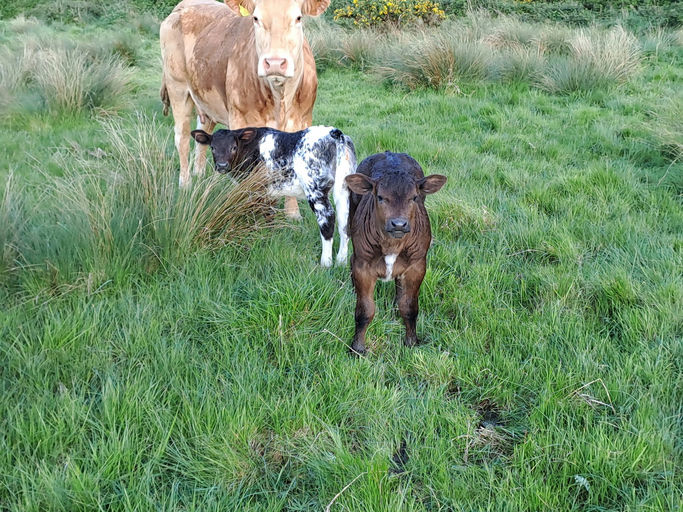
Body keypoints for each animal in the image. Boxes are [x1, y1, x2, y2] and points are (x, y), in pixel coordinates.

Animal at [160, 0, 330, 219]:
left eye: (298, 17)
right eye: (256, 18)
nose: (275, 63)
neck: (280, 98)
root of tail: (182, 6)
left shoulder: (302, 120)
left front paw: (292, 214)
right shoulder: (241, 121)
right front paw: (249, 208)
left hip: (205, 99)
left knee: (202, 135)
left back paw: (199, 176)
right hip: (178, 88)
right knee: (181, 137)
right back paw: (186, 184)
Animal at [190, 125, 356, 266]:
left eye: (234, 147)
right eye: (212, 147)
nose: (222, 166)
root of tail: (333, 133)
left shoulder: (254, 190)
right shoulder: (270, 193)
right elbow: (269, 216)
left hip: (315, 189)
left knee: (327, 220)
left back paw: (326, 263)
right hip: (344, 187)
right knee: (345, 222)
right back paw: (341, 262)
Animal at [344, 152, 447, 355]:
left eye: (414, 197)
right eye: (380, 197)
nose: (398, 224)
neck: (391, 245)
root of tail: (390, 153)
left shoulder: (417, 265)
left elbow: (409, 307)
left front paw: (411, 342)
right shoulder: (363, 266)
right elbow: (365, 310)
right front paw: (358, 348)